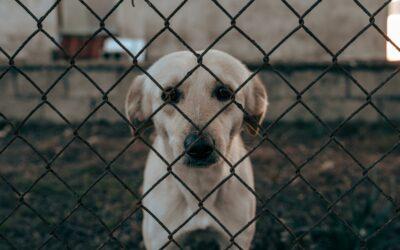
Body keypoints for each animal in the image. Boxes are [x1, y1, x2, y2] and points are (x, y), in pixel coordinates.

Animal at [125, 49, 268, 249]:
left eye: (224, 92)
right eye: (169, 95)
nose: (199, 147)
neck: (200, 186)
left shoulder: (236, 238)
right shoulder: (162, 239)